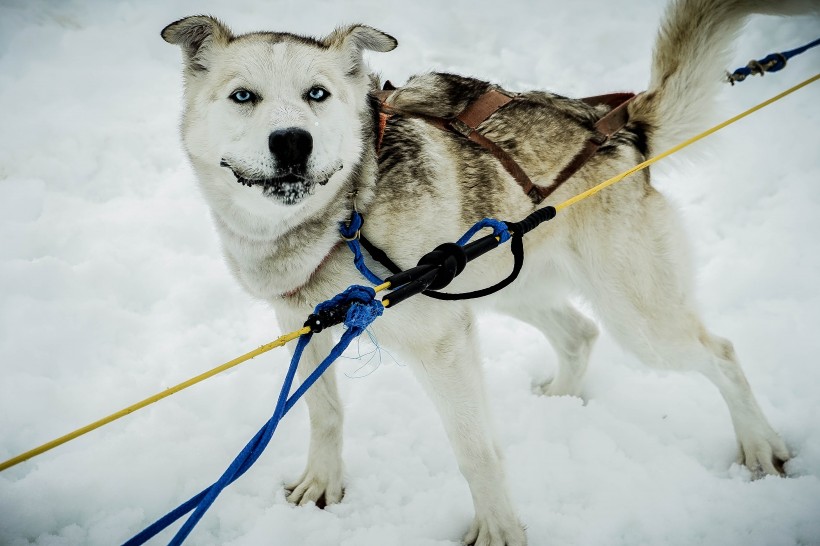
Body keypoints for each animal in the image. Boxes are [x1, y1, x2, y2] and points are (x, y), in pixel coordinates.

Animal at [162, 2, 812, 540]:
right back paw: (560, 400)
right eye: (243, 97)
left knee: (719, 352)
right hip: (497, 282)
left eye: (317, 94)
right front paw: (323, 485)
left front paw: (499, 532)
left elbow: (476, 451)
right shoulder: (305, 326)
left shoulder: (443, 346)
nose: (293, 141)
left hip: (638, 320)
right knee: (580, 332)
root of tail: (617, 128)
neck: (347, 215)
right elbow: (324, 413)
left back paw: (761, 447)